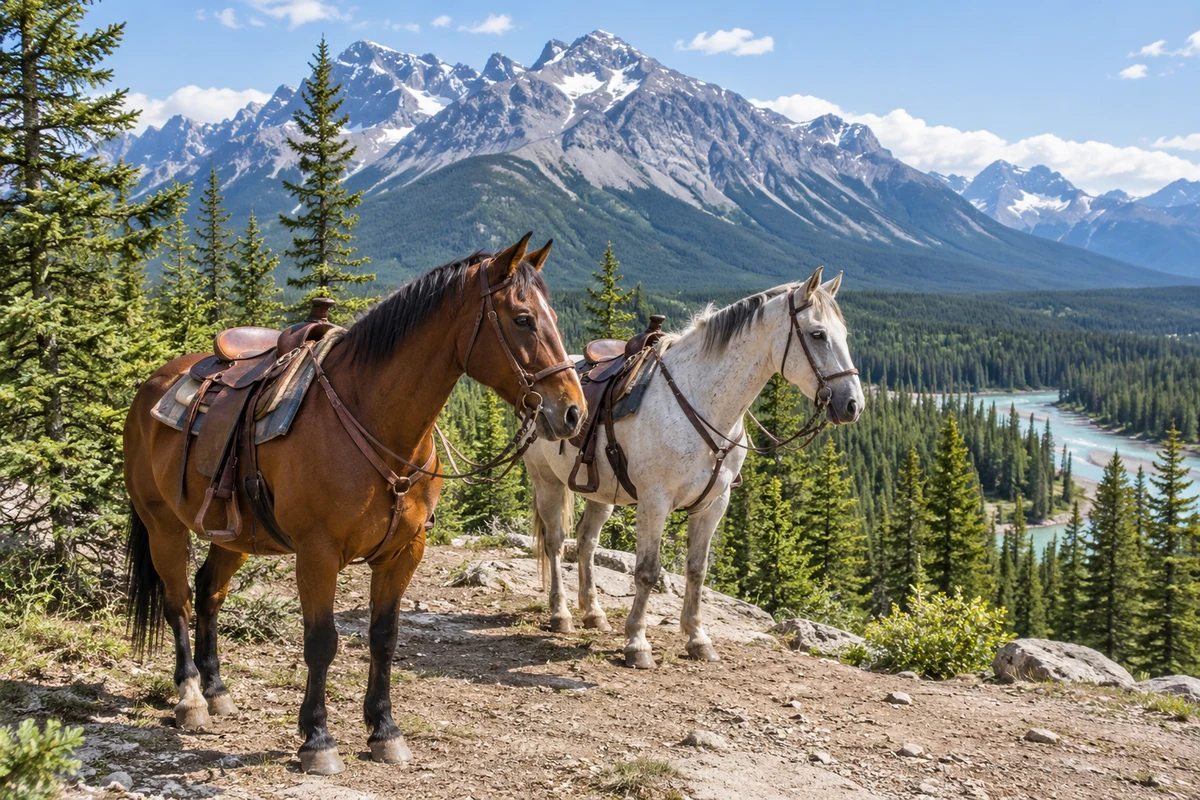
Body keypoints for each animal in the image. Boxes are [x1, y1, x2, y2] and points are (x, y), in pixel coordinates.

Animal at [123, 234, 585, 774]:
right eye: (523, 319)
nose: (573, 412)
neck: (372, 418)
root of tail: (151, 385)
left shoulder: (404, 552)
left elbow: (384, 638)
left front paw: (385, 730)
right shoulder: (317, 553)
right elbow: (322, 643)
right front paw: (317, 739)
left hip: (233, 534)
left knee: (209, 592)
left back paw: (217, 690)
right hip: (163, 525)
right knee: (177, 600)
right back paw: (191, 698)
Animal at [523, 267, 863, 669]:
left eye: (844, 335)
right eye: (817, 334)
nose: (852, 405)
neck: (700, 401)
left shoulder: (713, 504)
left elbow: (697, 570)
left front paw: (698, 639)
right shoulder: (654, 501)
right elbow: (647, 571)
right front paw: (637, 644)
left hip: (601, 492)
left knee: (587, 542)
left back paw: (594, 614)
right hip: (546, 480)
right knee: (556, 542)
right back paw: (560, 614)